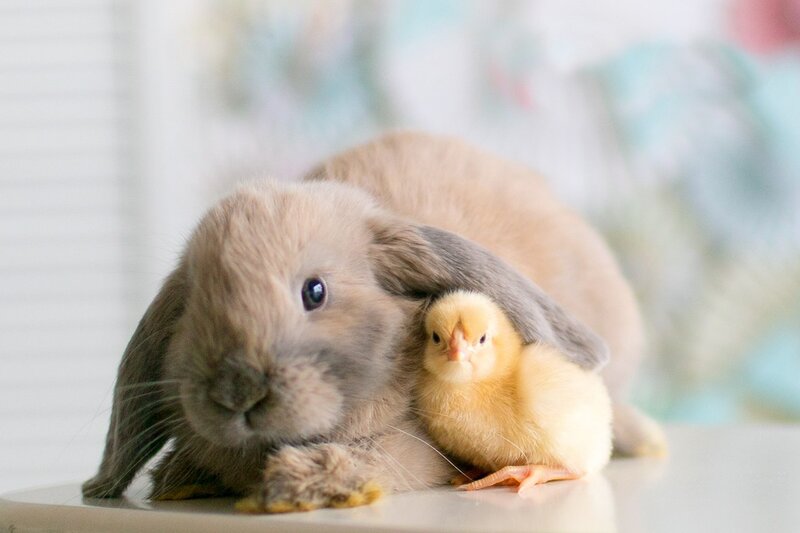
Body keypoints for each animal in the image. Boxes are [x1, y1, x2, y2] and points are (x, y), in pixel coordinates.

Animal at [82, 131, 664, 512]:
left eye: (314, 292)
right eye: (195, 303)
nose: (236, 389)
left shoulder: (416, 449)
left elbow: (367, 459)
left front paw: (297, 485)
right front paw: (178, 478)